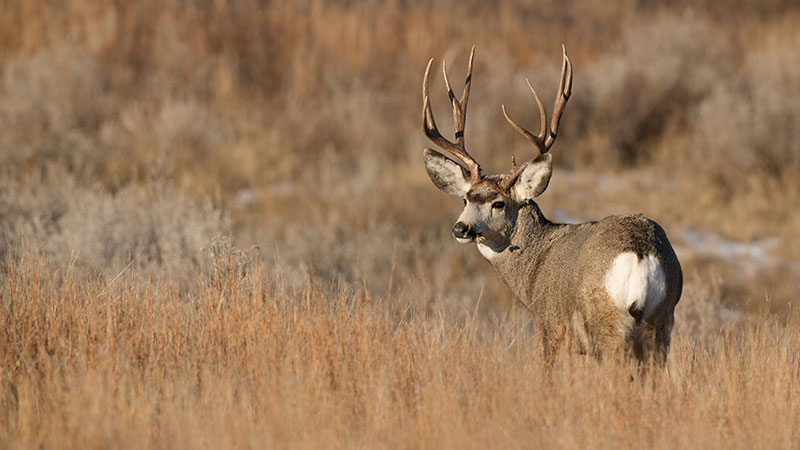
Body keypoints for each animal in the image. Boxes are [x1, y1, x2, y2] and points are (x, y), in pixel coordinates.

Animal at [422, 45, 684, 364]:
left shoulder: (549, 323)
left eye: (499, 203)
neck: (533, 268)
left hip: (606, 320)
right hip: (662, 319)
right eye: (465, 198)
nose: (461, 229)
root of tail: (639, 252)